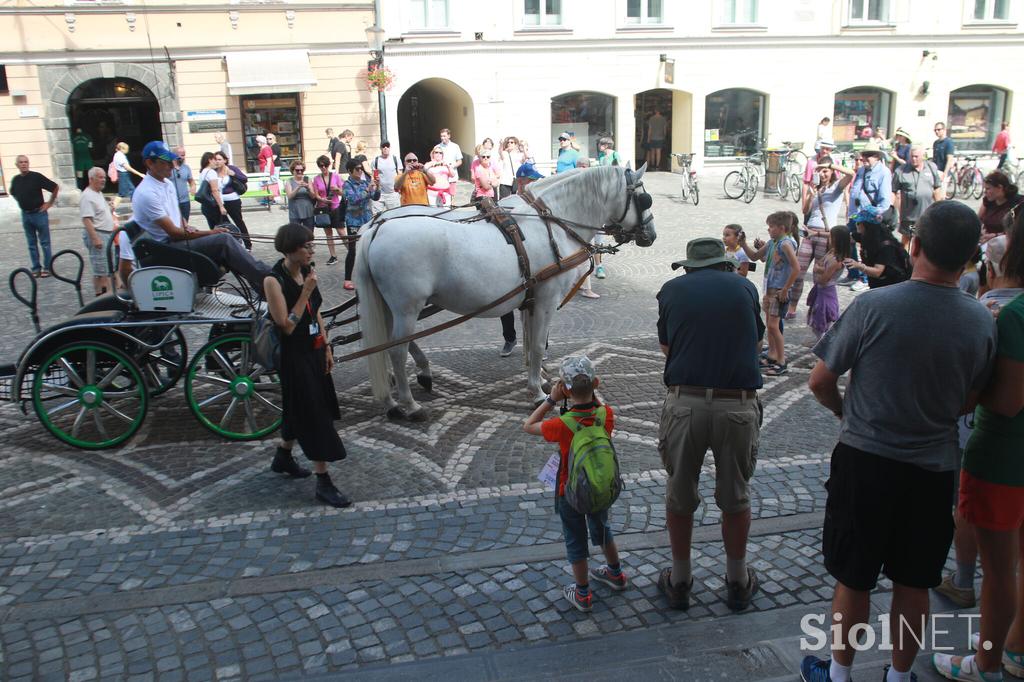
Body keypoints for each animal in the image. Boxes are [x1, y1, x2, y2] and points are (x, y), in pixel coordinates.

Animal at [352, 164, 655, 419]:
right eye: (645, 199)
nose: (651, 235)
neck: (553, 223)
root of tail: (375, 230)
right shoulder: (545, 301)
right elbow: (537, 345)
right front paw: (538, 393)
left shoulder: (530, 300)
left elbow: (531, 342)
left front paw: (538, 380)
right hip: (408, 307)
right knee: (397, 350)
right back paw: (409, 404)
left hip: (390, 307)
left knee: (387, 344)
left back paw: (397, 395)